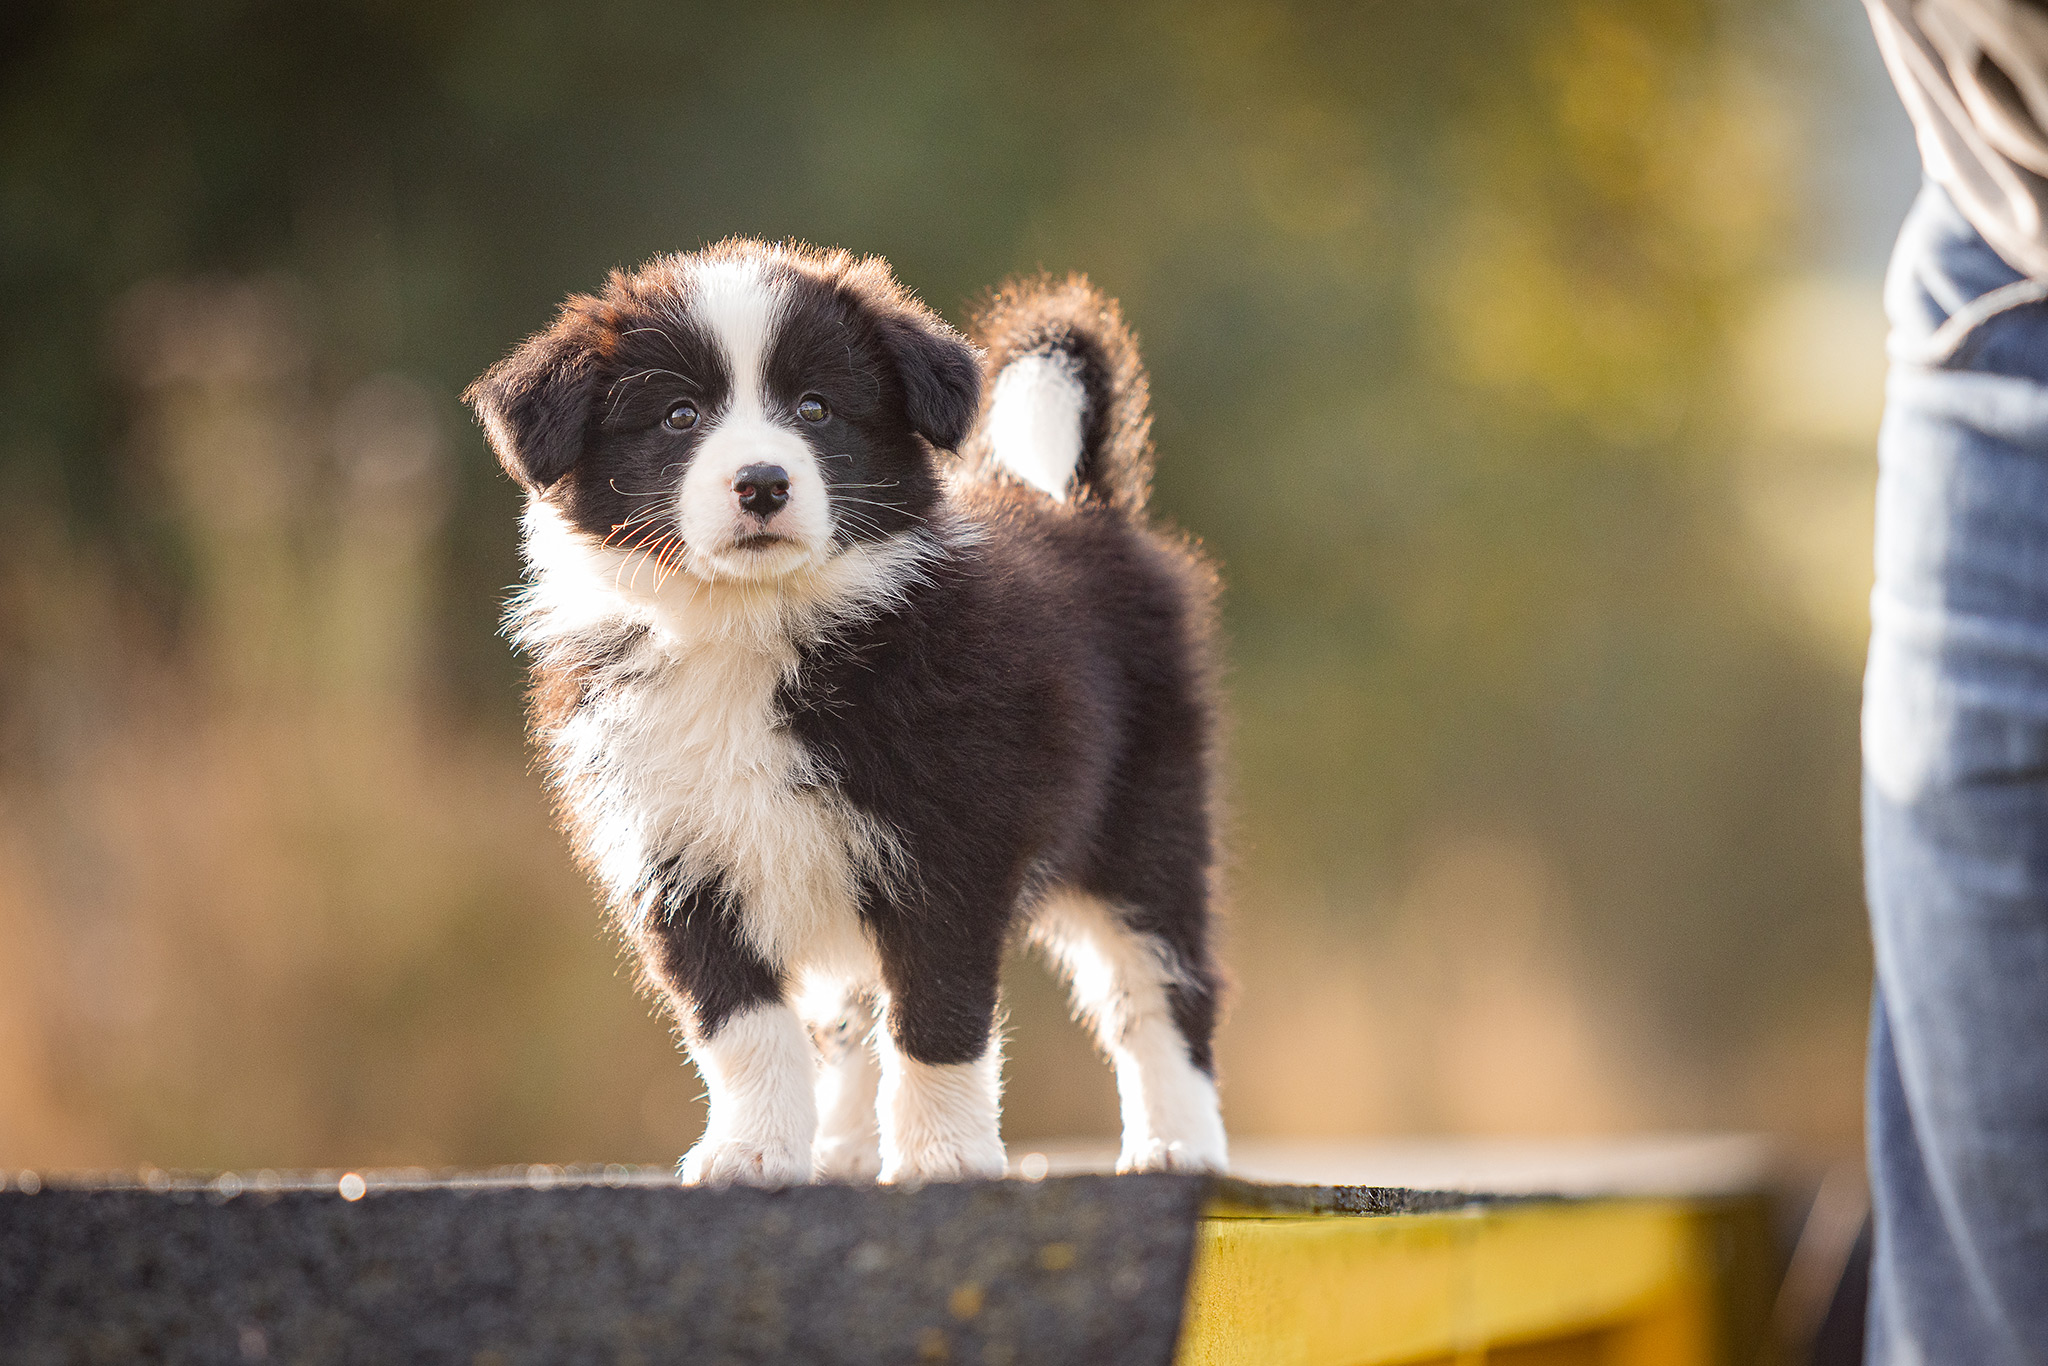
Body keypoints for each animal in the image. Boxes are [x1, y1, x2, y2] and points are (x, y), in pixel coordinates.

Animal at [464, 245, 1220, 1187]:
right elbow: (743, 1027)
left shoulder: (950, 842)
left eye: (817, 408)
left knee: (1159, 985)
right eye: (678, 416)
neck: (750, 625)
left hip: (1144, 819)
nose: (762, 482)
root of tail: (1088, 505)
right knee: (856, 1009)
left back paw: (1177, 1142)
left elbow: (936, 1016)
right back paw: (848, 1147)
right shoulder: (674, 858)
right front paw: (751, 1151)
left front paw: (944, 1159)